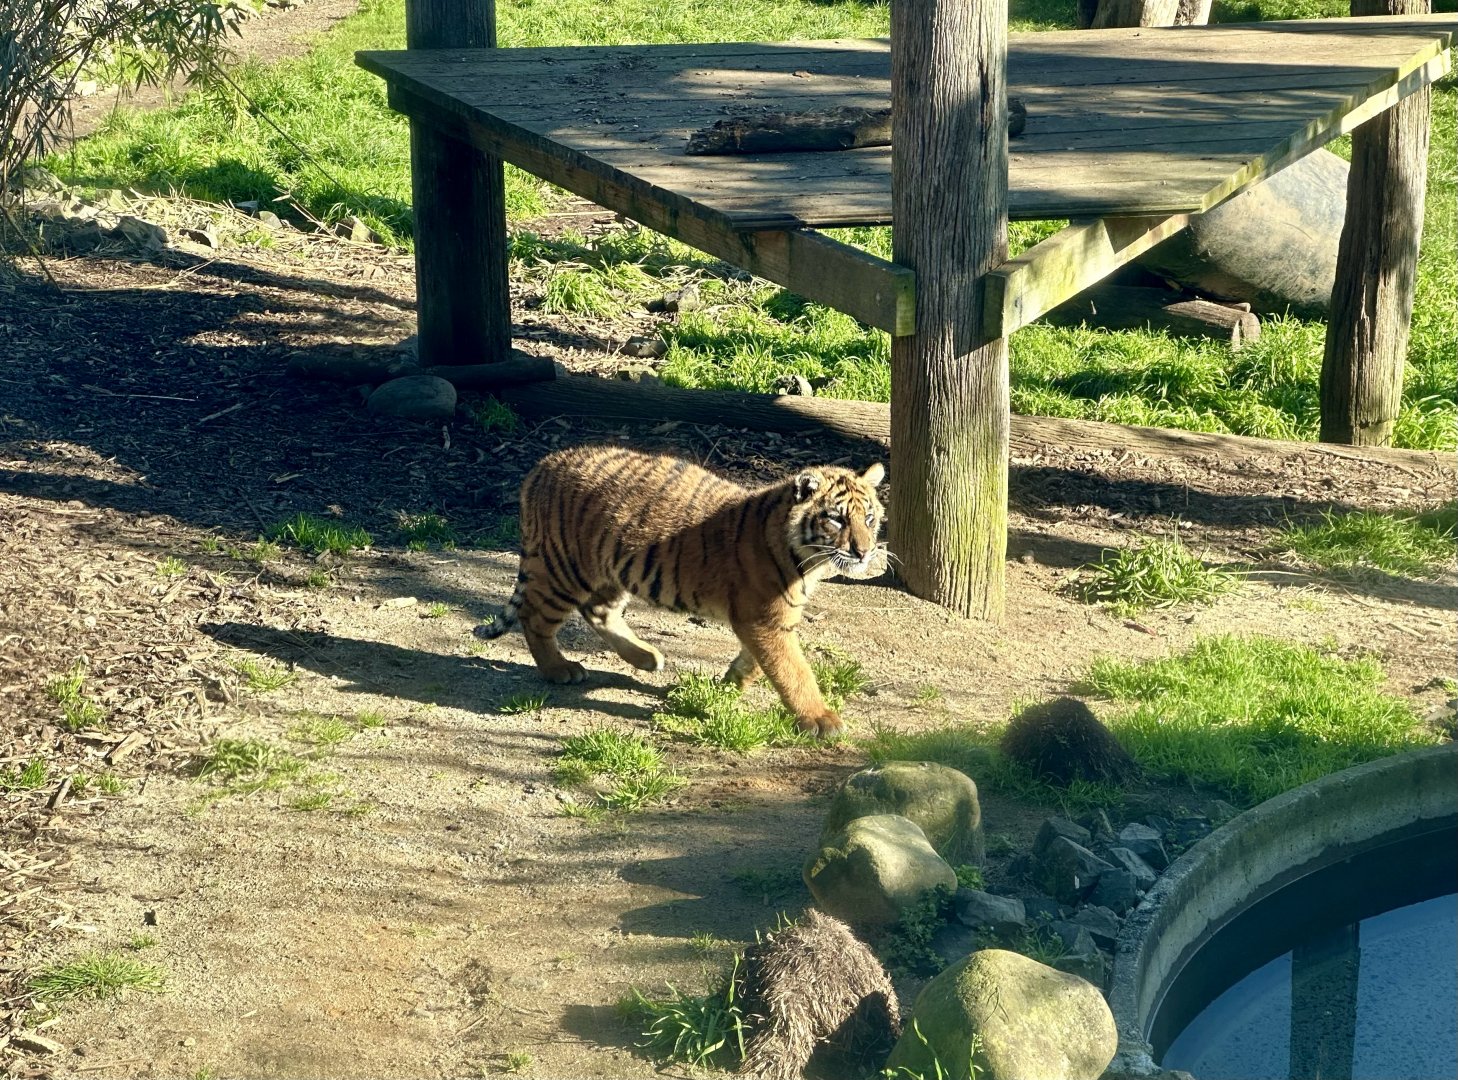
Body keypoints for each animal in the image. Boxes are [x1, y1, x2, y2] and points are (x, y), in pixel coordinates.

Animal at [474, 445, 886, 737]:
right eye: (836, 519)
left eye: (869, 518)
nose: (864, 552)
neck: (808, 559)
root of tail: (540, 467)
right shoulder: (765, 620)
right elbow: (793, 670)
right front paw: (821, 719)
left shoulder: (769, 621)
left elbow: (754, 661)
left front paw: (726, 688)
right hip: (564, 570)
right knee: (534, 617)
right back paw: (560, 669)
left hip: (610, 571)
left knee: (599, 612)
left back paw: (647, 658)